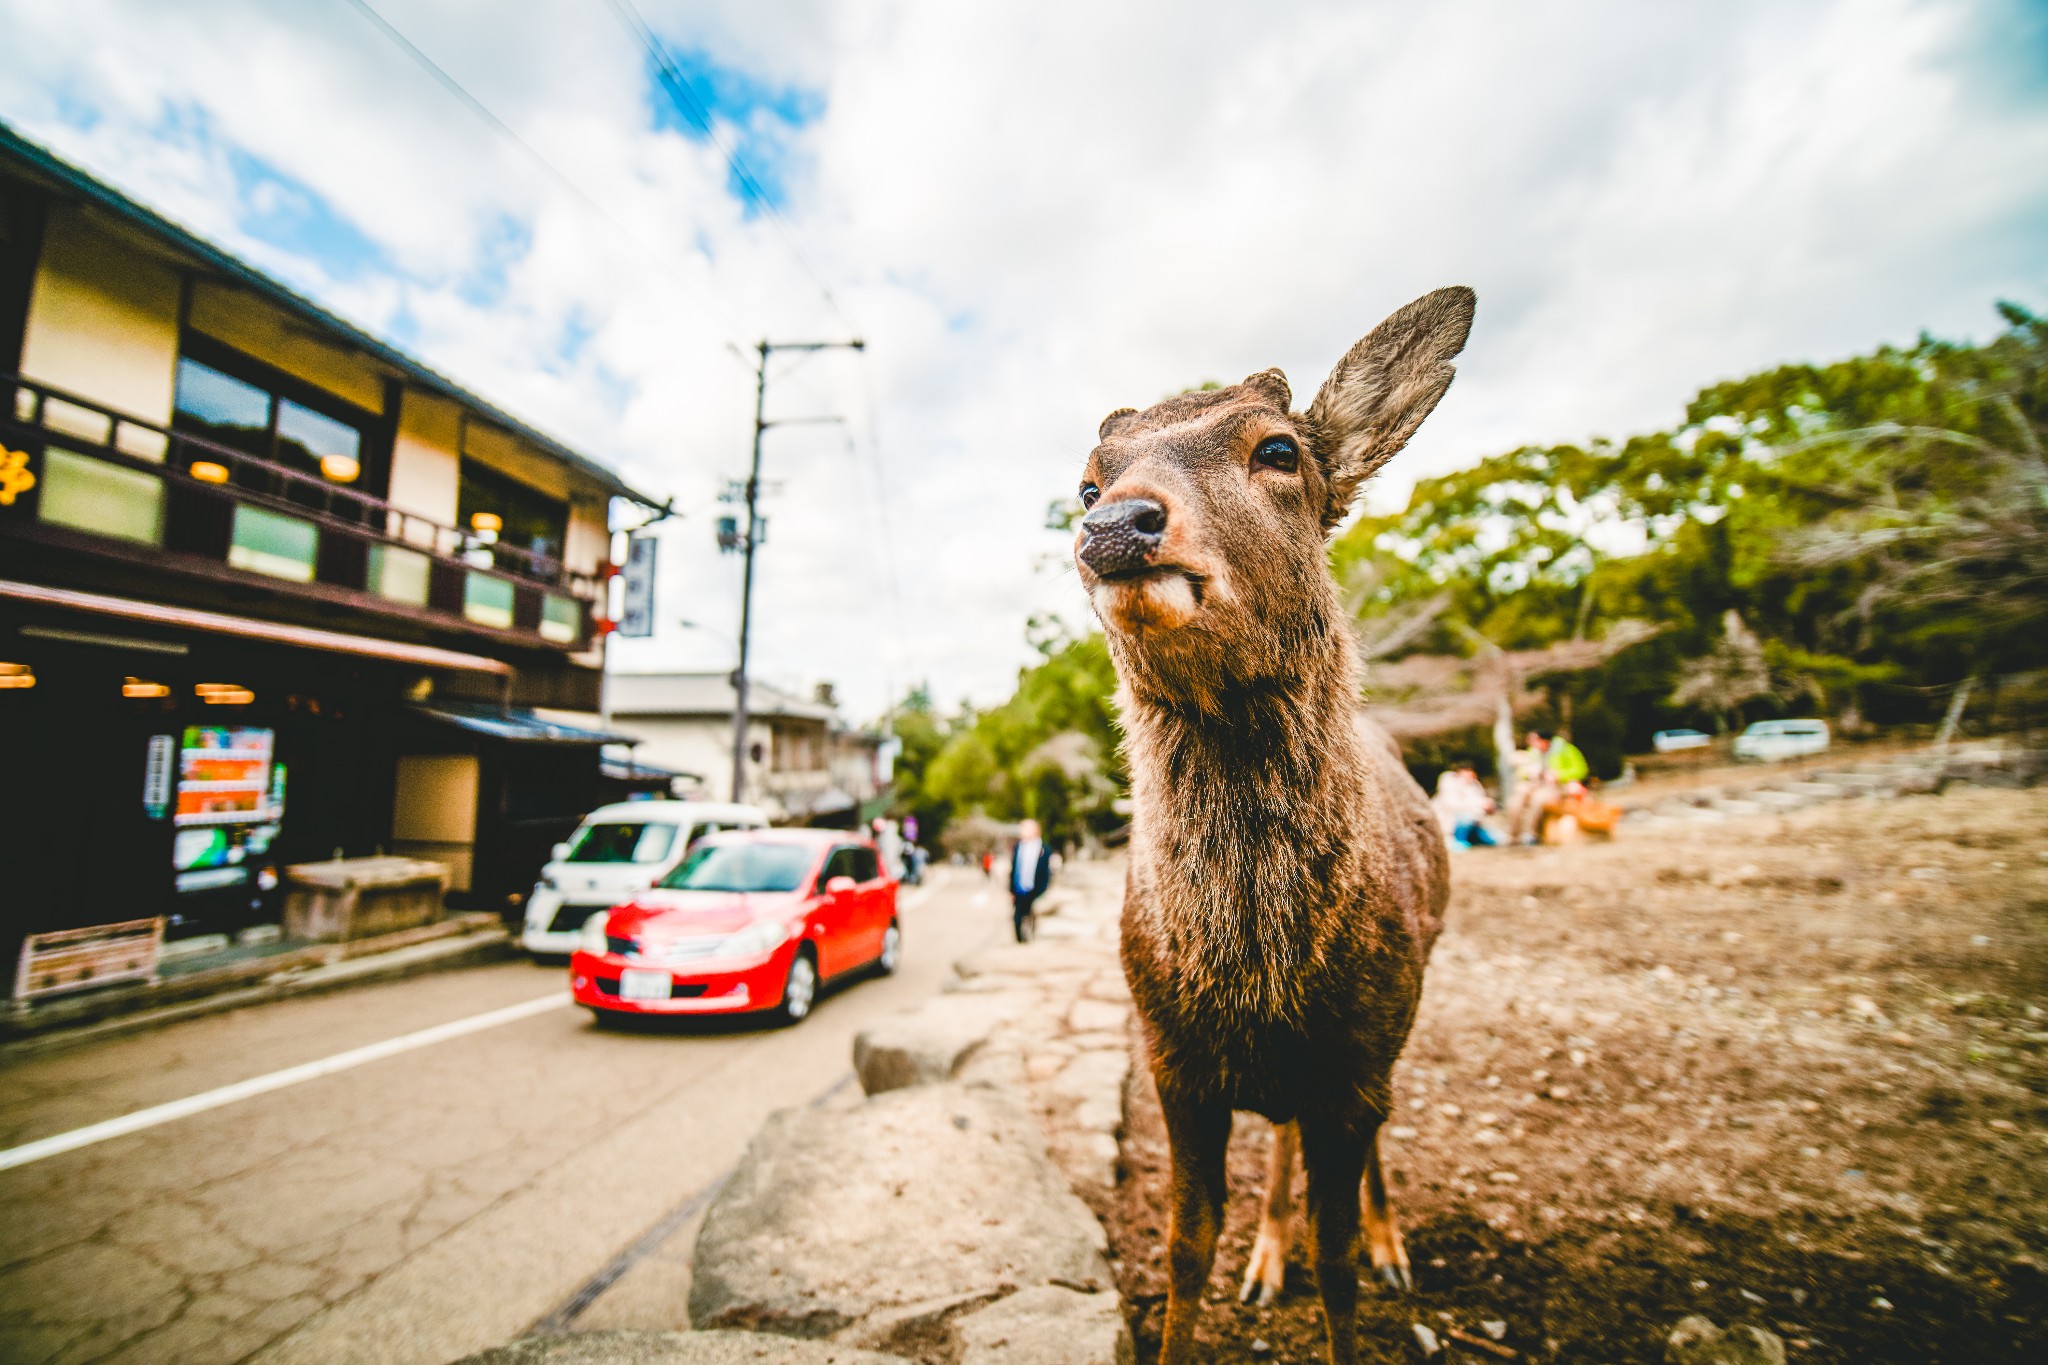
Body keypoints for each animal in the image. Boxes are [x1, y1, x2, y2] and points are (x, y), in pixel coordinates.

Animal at [1073, 286, 1474, 1358]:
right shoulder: (1170, 1061)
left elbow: (1339, 1268)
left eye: (1280, 449)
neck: (1259, 983)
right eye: (1086, 485)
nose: (1118, 526)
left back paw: (1389, 1243)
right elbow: (1183, 1250)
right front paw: (1239, 1262)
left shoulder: (1360, 1057)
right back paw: (1266, 1254)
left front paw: (1355, 1261)